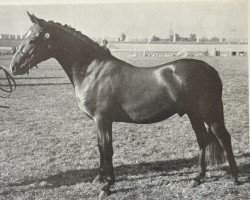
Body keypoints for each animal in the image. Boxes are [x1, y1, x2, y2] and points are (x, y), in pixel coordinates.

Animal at [10, 12, 240, 197]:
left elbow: (107, 148)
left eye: (33, 39)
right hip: (194, 115)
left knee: (224, 137)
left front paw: (107, 186)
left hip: (210, 113)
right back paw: (197, 178)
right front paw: (100, 178)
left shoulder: (103, 119)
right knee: (203, 140)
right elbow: (100, 147)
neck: (93, 71)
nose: (14, 67)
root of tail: (211, 70)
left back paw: (235, 178)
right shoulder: (98, 121)